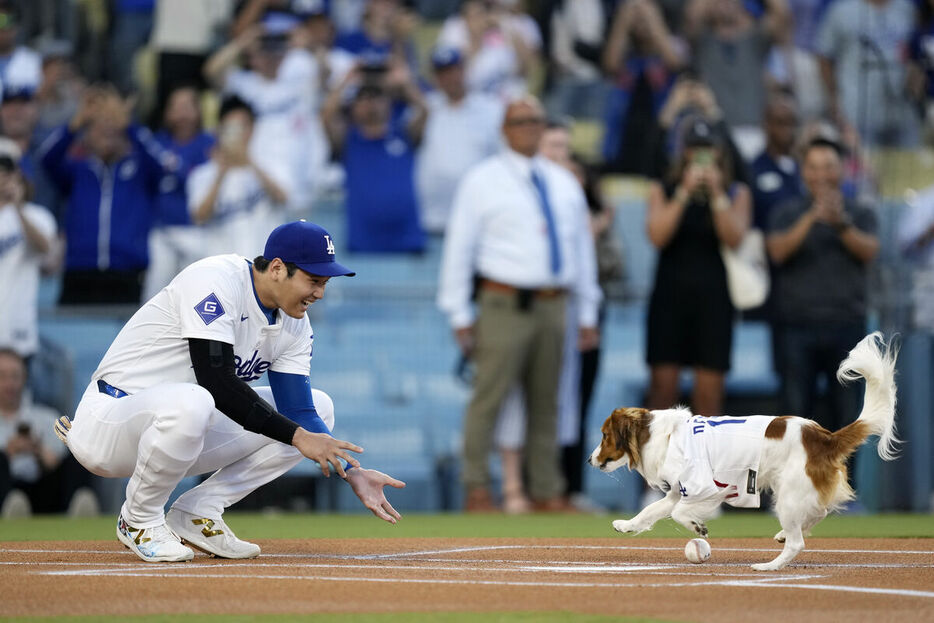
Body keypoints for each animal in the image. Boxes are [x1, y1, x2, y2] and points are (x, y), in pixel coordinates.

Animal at [588, 334, 904, 572]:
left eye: (604, 436)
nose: (590, 459)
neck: (659, 436)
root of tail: (824, 437)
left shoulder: (706, 488)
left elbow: (678, 514)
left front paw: (697, 527)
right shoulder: (679, 491)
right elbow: (651, 511)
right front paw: (627, 525)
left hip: (787, 496)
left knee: (798, 542)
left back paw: (770, 566)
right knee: (820, 512)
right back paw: (783, 535)